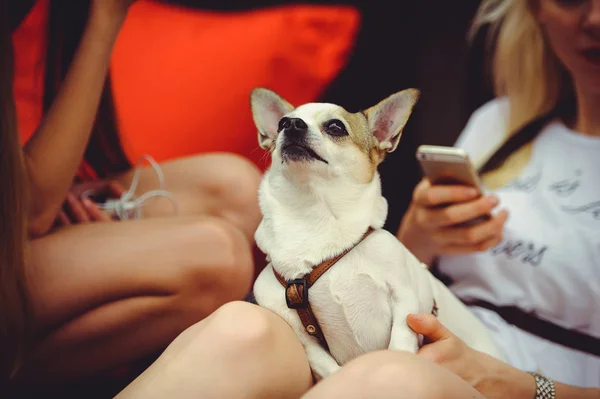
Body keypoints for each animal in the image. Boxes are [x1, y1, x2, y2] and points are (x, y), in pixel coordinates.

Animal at [251, 88, 504, 382]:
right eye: (281, 124)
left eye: (335, 127)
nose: (290, 124)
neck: (314, 217)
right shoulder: (305, 339)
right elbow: (326, 366)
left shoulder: (404, 299)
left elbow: (400, 343)